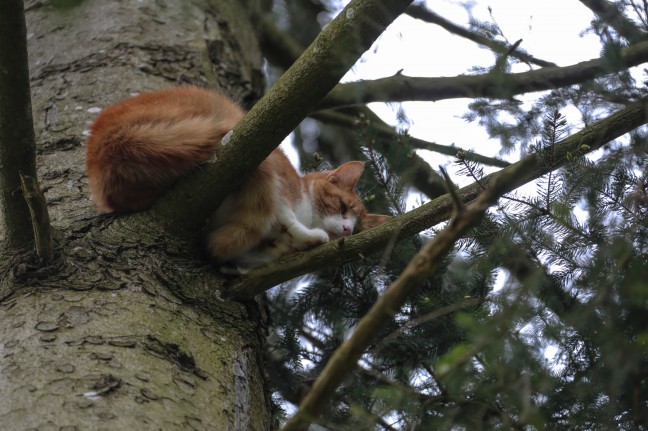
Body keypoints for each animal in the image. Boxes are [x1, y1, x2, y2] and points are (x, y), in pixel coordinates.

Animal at [85, 85, 390, 268]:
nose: (348, 230)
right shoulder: (279, 180)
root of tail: (104, 142)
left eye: (358, 229)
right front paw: (308, 234)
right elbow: (285, 215)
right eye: (342, 207)